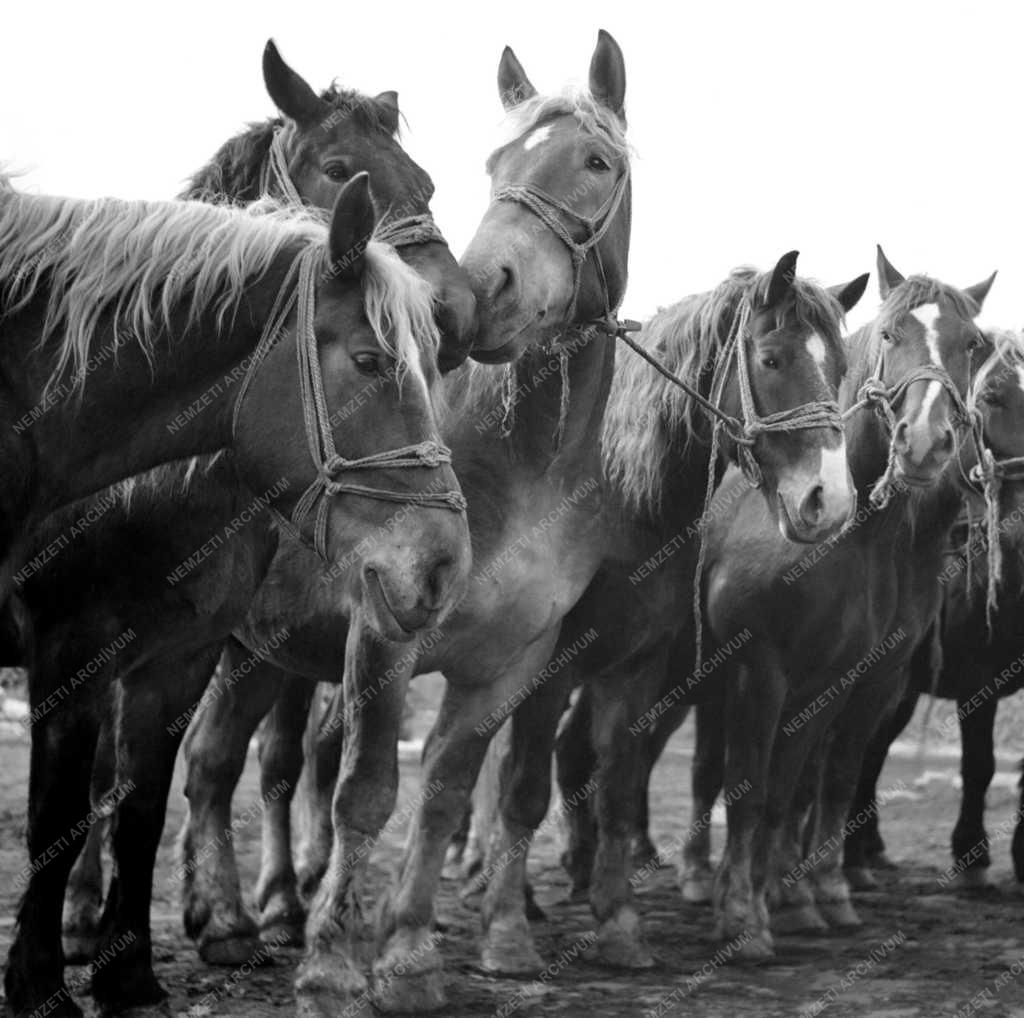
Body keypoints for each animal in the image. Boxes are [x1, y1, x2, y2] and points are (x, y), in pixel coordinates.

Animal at [3, 39, 479, 1015]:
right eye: (337, 168)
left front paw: (132, 975)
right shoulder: (70, 653)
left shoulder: (181, 655)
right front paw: (42, 976)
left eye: (427, 181)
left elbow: (144, 806)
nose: (454, 315)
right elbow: (65, 812)